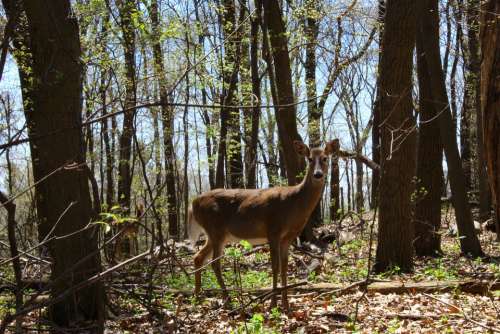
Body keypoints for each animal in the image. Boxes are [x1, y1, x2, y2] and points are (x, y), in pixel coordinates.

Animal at [188, 139, 340, 310]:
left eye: (325, 158)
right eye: (310, 159)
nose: (318, 174)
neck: (294, 203)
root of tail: (193, 203)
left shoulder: (288, 237)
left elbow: (284, 267)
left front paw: (286, 304)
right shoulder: (273, 230)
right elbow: (274, 267)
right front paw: (273, 304)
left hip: (216, 234)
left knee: (198, 257)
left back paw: (197, 297)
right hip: (215, 230)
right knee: (215, 263)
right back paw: (228, 300)